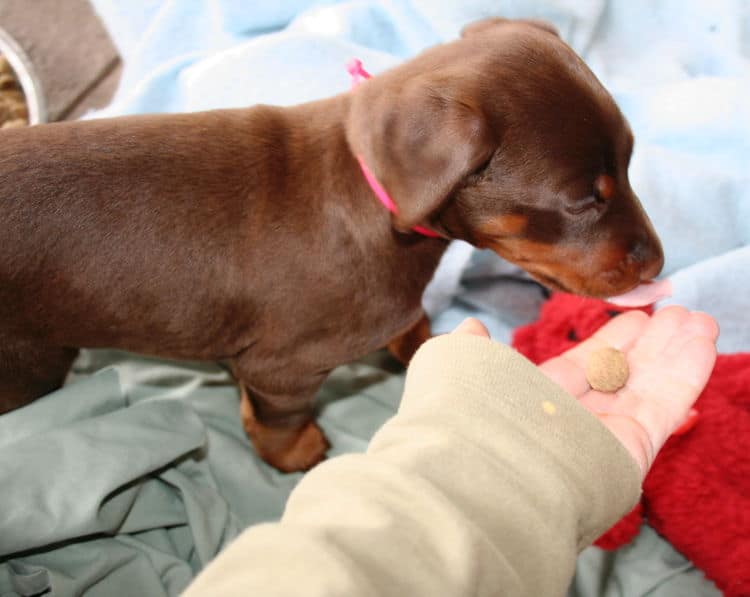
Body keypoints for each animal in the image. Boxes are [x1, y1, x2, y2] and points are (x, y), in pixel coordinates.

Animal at [0, 18, 664, 470]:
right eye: (582, 200)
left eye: (631, 163)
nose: (658, 262)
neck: (374, 200)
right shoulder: (283, 367)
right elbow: (283, 417)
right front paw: (293, 453)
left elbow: (412, 324)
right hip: (31, 361)